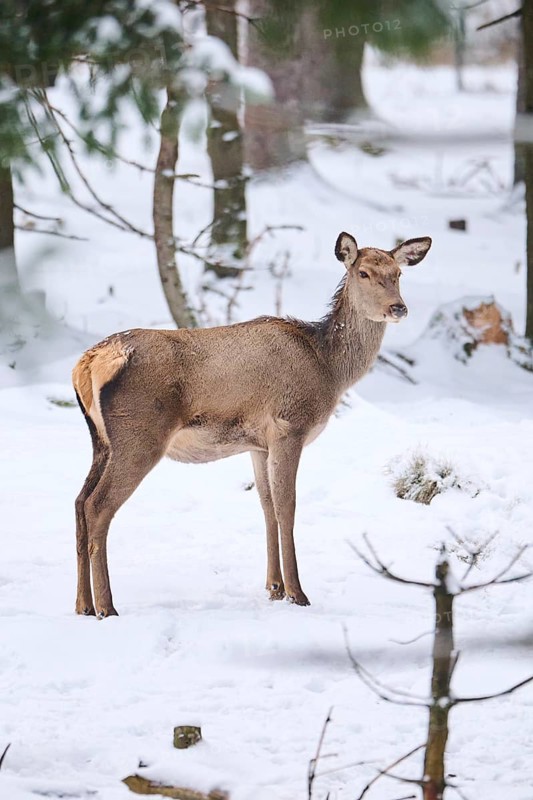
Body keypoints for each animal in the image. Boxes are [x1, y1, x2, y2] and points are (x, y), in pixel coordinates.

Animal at [73, 231, 431, 618]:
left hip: (101, 441)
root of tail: (88, 362)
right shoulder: (290, 426)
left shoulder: (259, 444)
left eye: (398, 273)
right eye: (363, 272)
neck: (329, 369)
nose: (398, 308)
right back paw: (107, 606)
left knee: (79, 502)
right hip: (140, 435)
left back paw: (83, 605)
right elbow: (287, 507)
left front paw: (274, 588)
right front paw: (297, 593)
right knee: (98, 506)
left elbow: (267, 507)